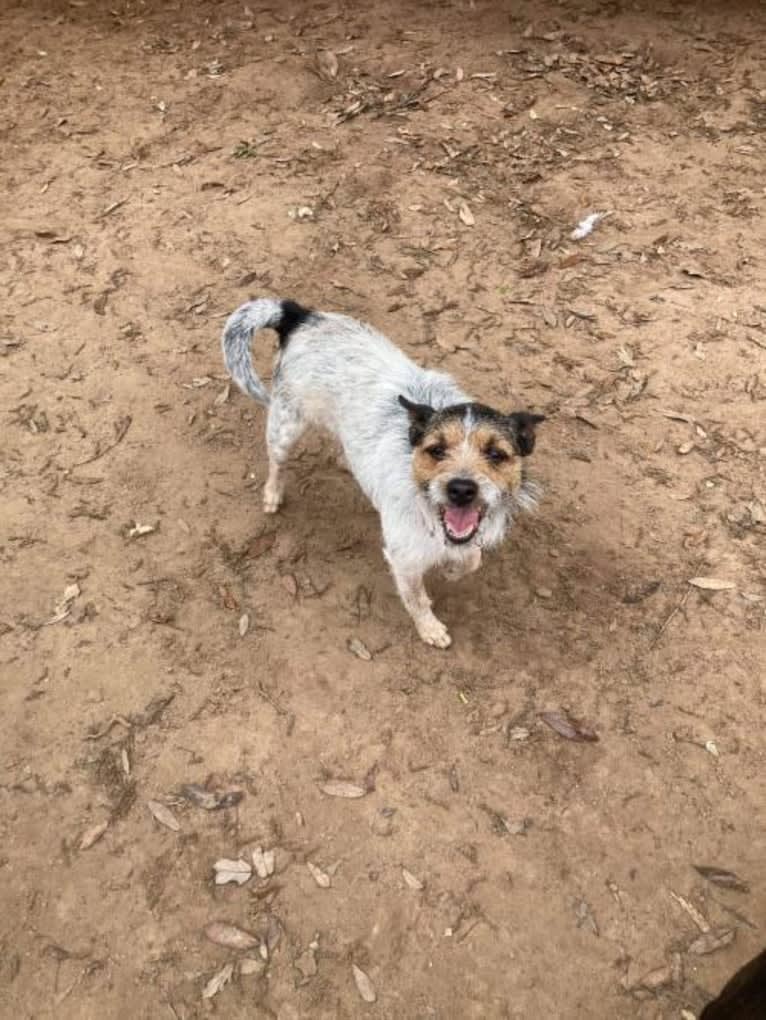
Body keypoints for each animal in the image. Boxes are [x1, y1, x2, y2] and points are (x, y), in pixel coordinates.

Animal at [223, 297, 546, 644]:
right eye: (436, 450)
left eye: (496, 454)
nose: (461, 489)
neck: (428, 510)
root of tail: (301, 315)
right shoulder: (404, 559)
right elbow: (416, 599)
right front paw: (430, 628)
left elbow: (472, 559)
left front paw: (452, 570)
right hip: (286, 426)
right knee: (276, 462)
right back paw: (272, 494)